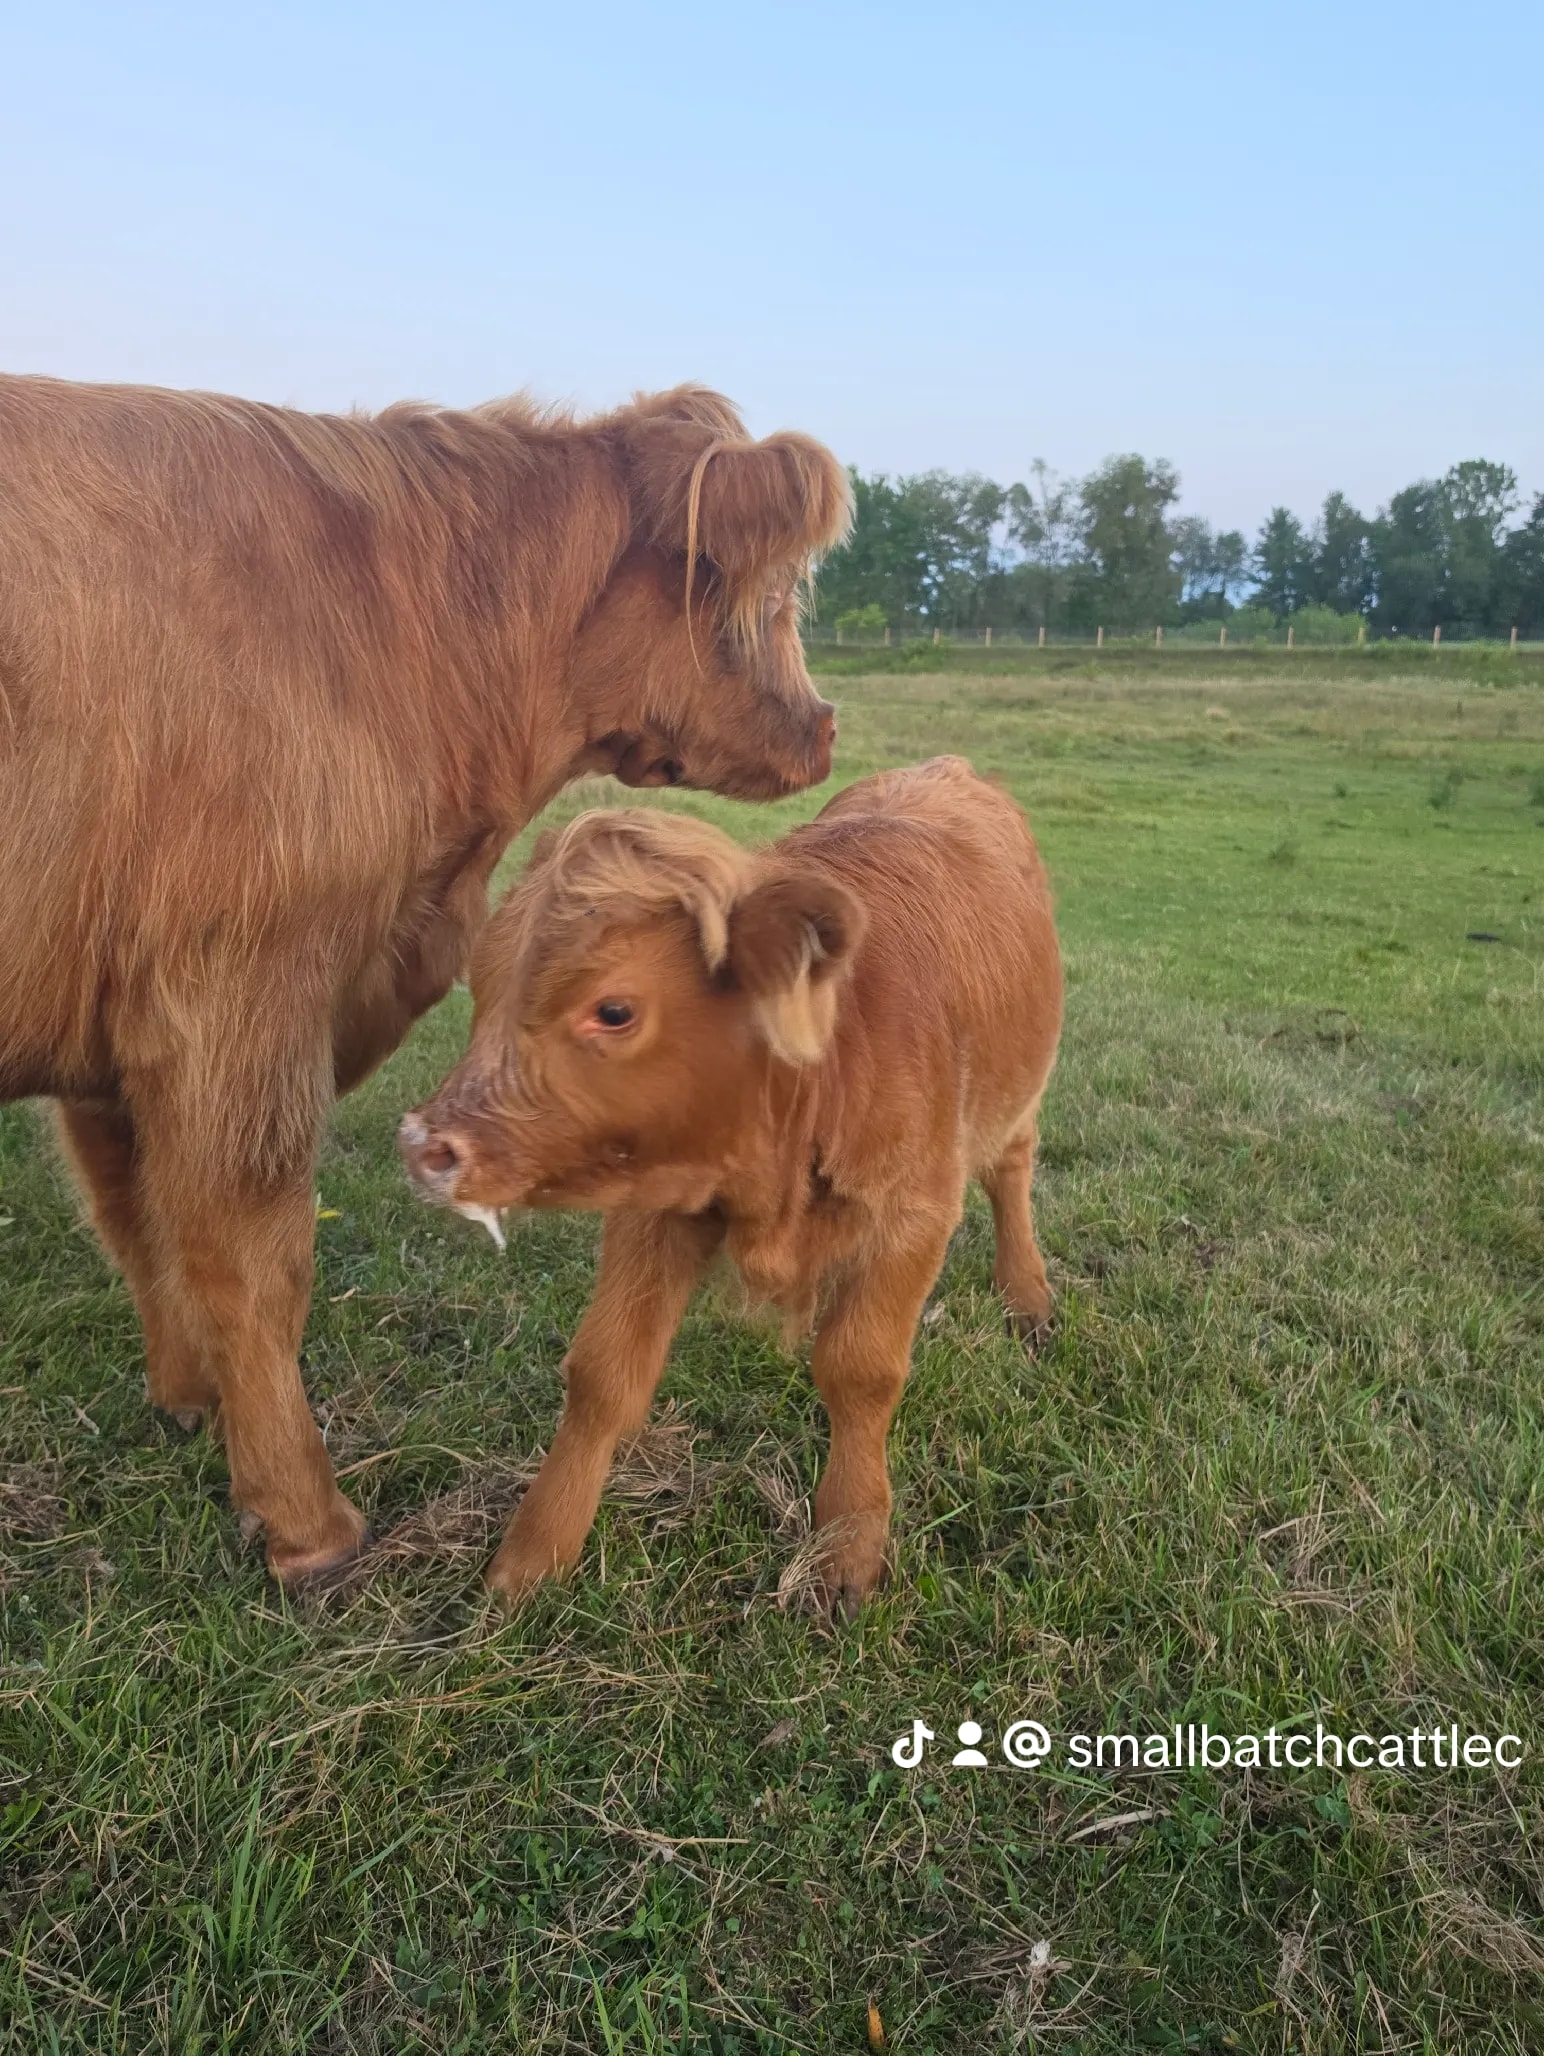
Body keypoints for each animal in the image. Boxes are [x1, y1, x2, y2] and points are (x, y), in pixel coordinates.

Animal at [0, 373, 850, 1584]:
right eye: (769, 590)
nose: (823, 728)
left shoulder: (113, 1025)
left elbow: (136, 1220)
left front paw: (192, 1404)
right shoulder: (237, 995)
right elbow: (252, 1257)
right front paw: (307, 1526)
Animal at [400, 756, 1063, 1614]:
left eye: (614, 1010)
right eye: (479, 989)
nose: (427, 1145)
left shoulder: (912, 1215)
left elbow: (860, 1371)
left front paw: (847, 1545)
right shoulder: (650, 1213)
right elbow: (603, 1374)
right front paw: (535, 1555)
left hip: (1014, 1097)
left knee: (1012, 1170)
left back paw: (1028, 1298)